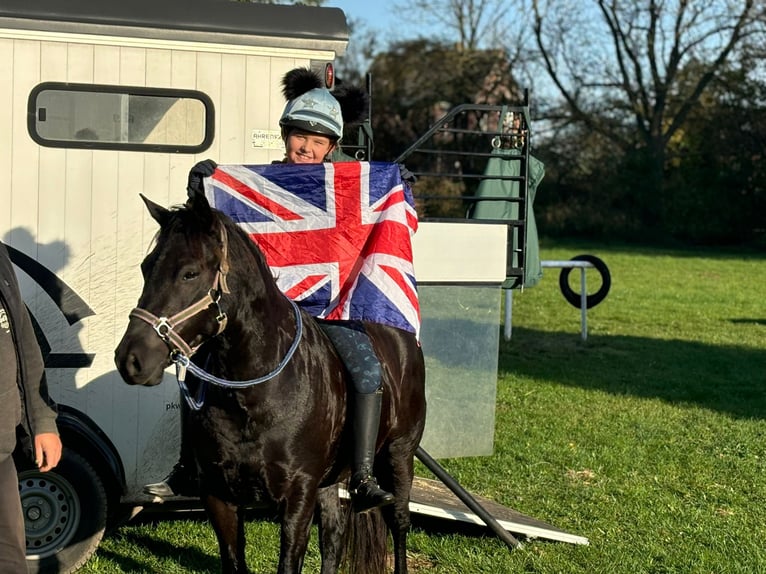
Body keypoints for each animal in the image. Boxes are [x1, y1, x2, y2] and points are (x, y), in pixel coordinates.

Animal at [115, 194, 426, 574]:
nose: (130, 359)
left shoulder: (297, 496)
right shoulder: (219, 496)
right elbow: (235, 561)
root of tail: (404, 339)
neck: (252, 397)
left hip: (399, 456)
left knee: (399, 523)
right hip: (332, 480)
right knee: (334, 536)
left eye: (190, 272)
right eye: (147, 268)